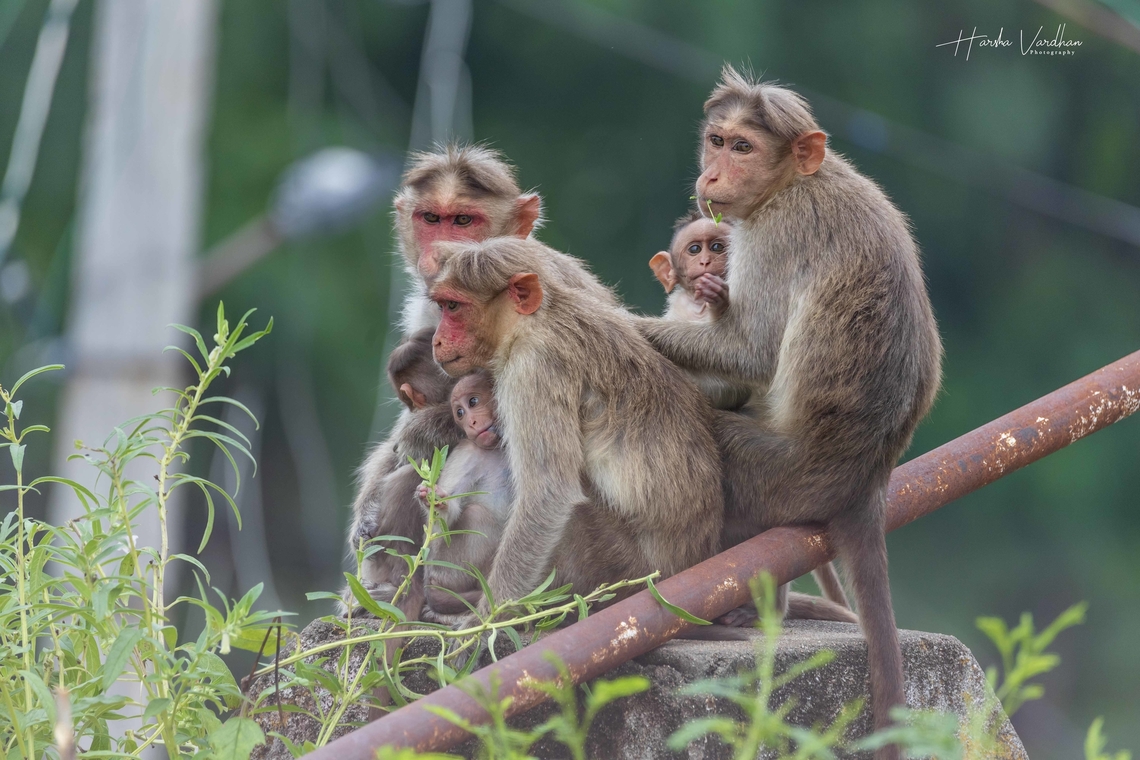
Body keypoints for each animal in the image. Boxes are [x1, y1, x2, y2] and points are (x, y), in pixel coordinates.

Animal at [415, 371, 513, 624]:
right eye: (459, 413)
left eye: (473, 402)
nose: (470, 422)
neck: (496, 449)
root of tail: (430, 584)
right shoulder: (468, 451)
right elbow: (445, 519)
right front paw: (435, 502)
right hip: (449, 569)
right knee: (476, 515)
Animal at [636, 67, 942, 753]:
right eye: (717, 140)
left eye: (743, 147)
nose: (711, 176)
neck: (795, 183)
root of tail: (866, 481)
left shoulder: (776, 234)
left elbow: (748, 350)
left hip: (772, 473)